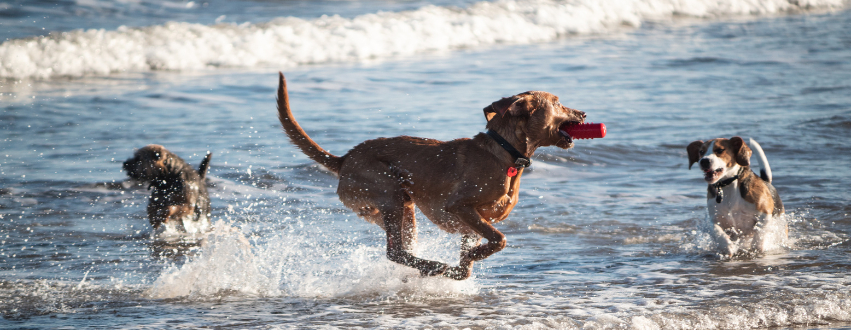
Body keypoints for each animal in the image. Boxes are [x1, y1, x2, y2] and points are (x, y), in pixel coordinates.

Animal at [274, 72, 584, 278]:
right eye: (557, 102)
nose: (583, 113)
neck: (505, 153)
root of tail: (344, 160)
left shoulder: (472, 224)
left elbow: (470, 261)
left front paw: (464, 265)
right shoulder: (461, 207)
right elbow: (499, 239)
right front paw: (469, 258)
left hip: (403, 208)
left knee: (403, 251)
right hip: (389, 193)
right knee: (395, 252)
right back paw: (436, 266)